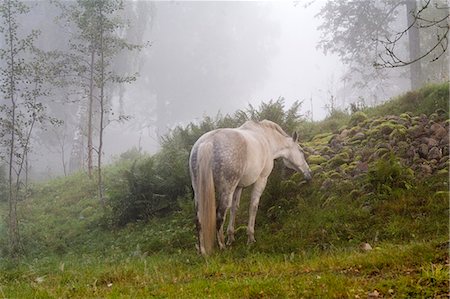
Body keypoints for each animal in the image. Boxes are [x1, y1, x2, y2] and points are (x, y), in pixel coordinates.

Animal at [188, 119, 312, 255]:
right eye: (301, 151)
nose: (309, 174)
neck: (267, 139)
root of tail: (209, 142)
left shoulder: (238, 187)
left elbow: (234, 208)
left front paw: (231, 238)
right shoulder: (261, 180)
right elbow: (253, 206)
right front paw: (250, 238)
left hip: (199, 192)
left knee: (199, 219)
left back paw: (203, 251)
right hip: (226, 190)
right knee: (219, 216)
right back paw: (222, 247)